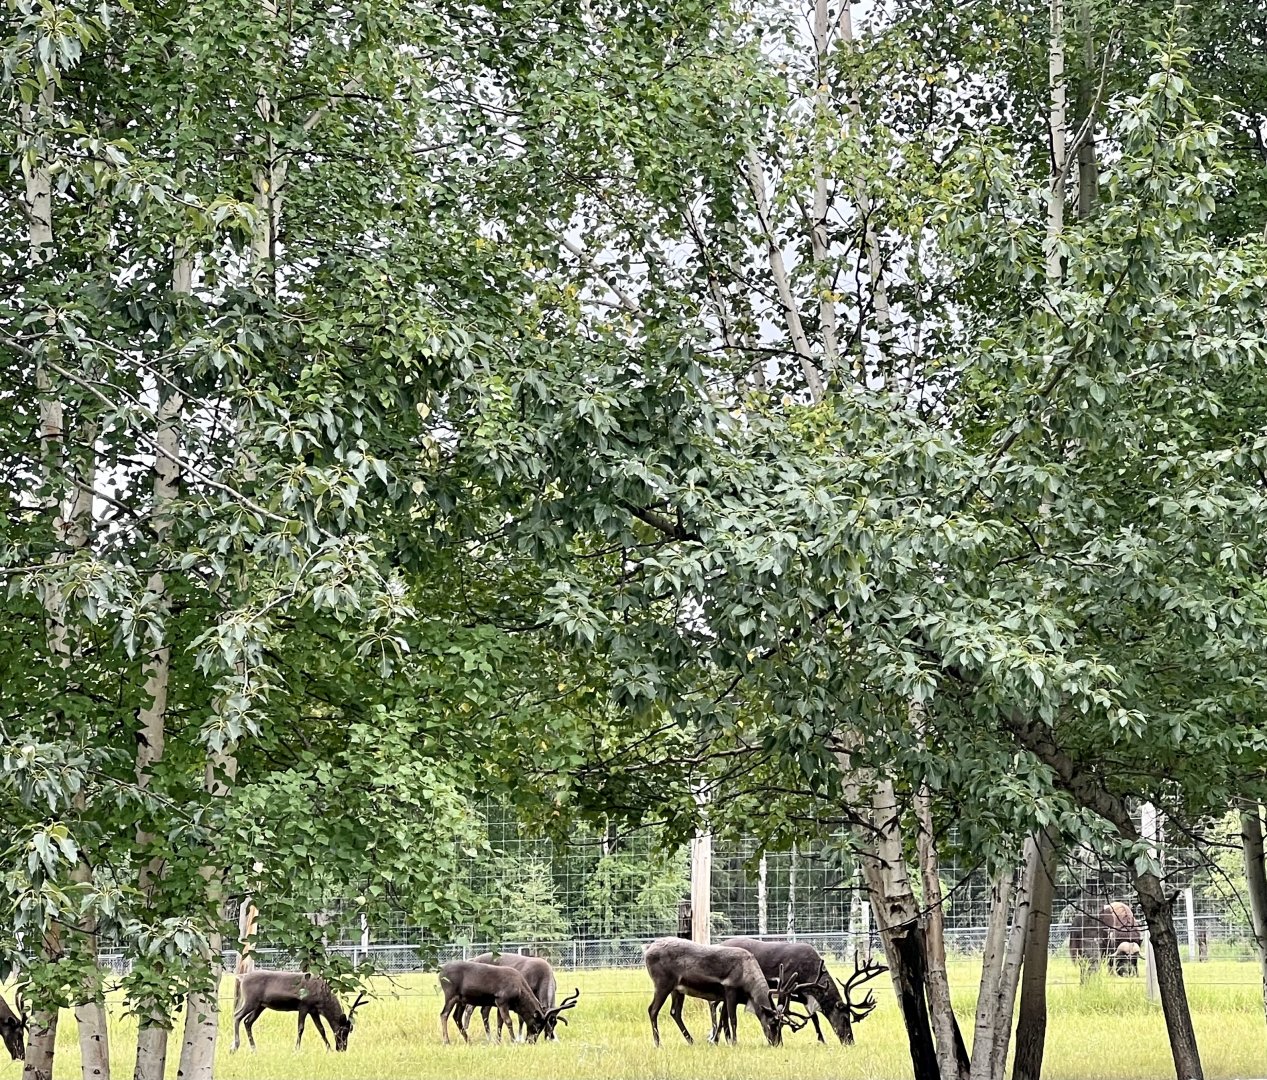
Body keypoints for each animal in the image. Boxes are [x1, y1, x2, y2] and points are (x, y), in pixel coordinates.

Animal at [232, 969, 368, 1052]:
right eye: (344, 1031)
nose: (342, 1048)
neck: (323, 995)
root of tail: (242, 977)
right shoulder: (304, 1006)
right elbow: (300, 1028)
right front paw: (296, 1049)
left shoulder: (314, 1010)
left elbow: (321, 1029)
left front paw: (329, 1049)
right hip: (250, 1001)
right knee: (237, 1015)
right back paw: (235, 1046)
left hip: (260, 1005)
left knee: (248, 1021)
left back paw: (254, 1049)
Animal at [438, 960, 579, 1044]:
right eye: (536, 1025)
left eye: (543, 1027)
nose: (532, 1041)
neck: (519, 991)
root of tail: (441, 972)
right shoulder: (502, 1000)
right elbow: (508, 1021)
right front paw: (514, 1040)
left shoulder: (499, 1004)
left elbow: (500, 1021)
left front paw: (499, 1041)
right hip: (450, 995)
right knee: (444, 1014)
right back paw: (447, 1041)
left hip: (461, 999)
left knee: (457, 1016)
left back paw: (468, 1040)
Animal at [642, 937, 804, 1047]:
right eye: (772, 1022)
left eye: (782, 1025)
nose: (777, 1043)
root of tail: (648, 948)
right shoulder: (730, 989)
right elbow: (733, 1020)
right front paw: (734, 1042)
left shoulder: (725, 996)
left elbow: (722, 1020)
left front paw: (719, 1041)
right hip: (662, 983)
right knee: (652, 1010)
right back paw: (658, 1043)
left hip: (677, 989)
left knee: (675, 1012)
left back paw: (691, 1040)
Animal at [711, 940, 887, 1045]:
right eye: (845, 1018)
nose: (850, 1041)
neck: (811, 972)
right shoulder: (786, 987)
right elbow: (783, 1012)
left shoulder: (802, 994)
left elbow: (814, 1017)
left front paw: (822, 1040)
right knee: (719, 1008)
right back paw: (717, 1038)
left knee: (721, 1009)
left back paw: (720, 1038)